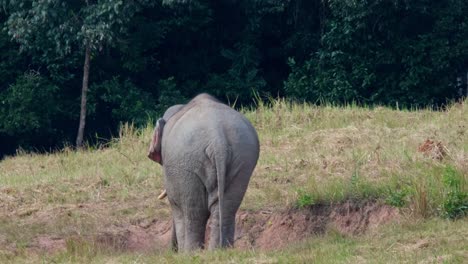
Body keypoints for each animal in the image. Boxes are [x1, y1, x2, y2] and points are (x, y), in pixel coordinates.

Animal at [147, 93, 260, 252]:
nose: (173, 250)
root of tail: (218, 138)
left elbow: (175, 204)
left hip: (187, 164)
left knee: (193, 211)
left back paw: (191, 253)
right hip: (243, 160)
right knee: (227, 206)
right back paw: (219, 250)